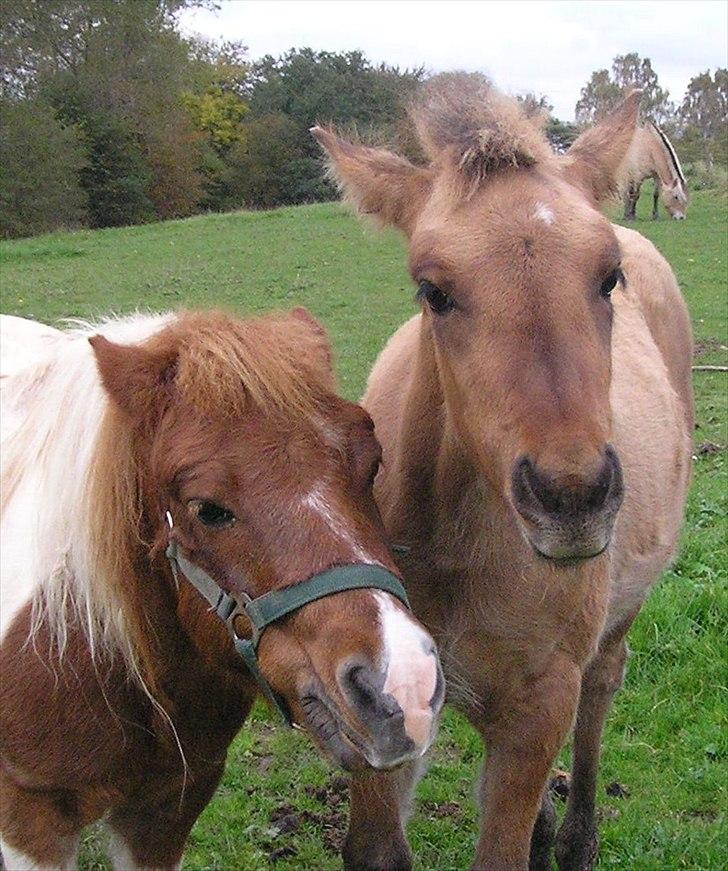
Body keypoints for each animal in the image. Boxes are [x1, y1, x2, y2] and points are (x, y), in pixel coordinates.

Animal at [314, 76, 692, 871]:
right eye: (432, 290)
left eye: (608, 276)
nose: (571, 498)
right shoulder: (378, 692)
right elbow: (376, 847)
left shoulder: (539, 702)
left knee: (601, 689)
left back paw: (574, 834)